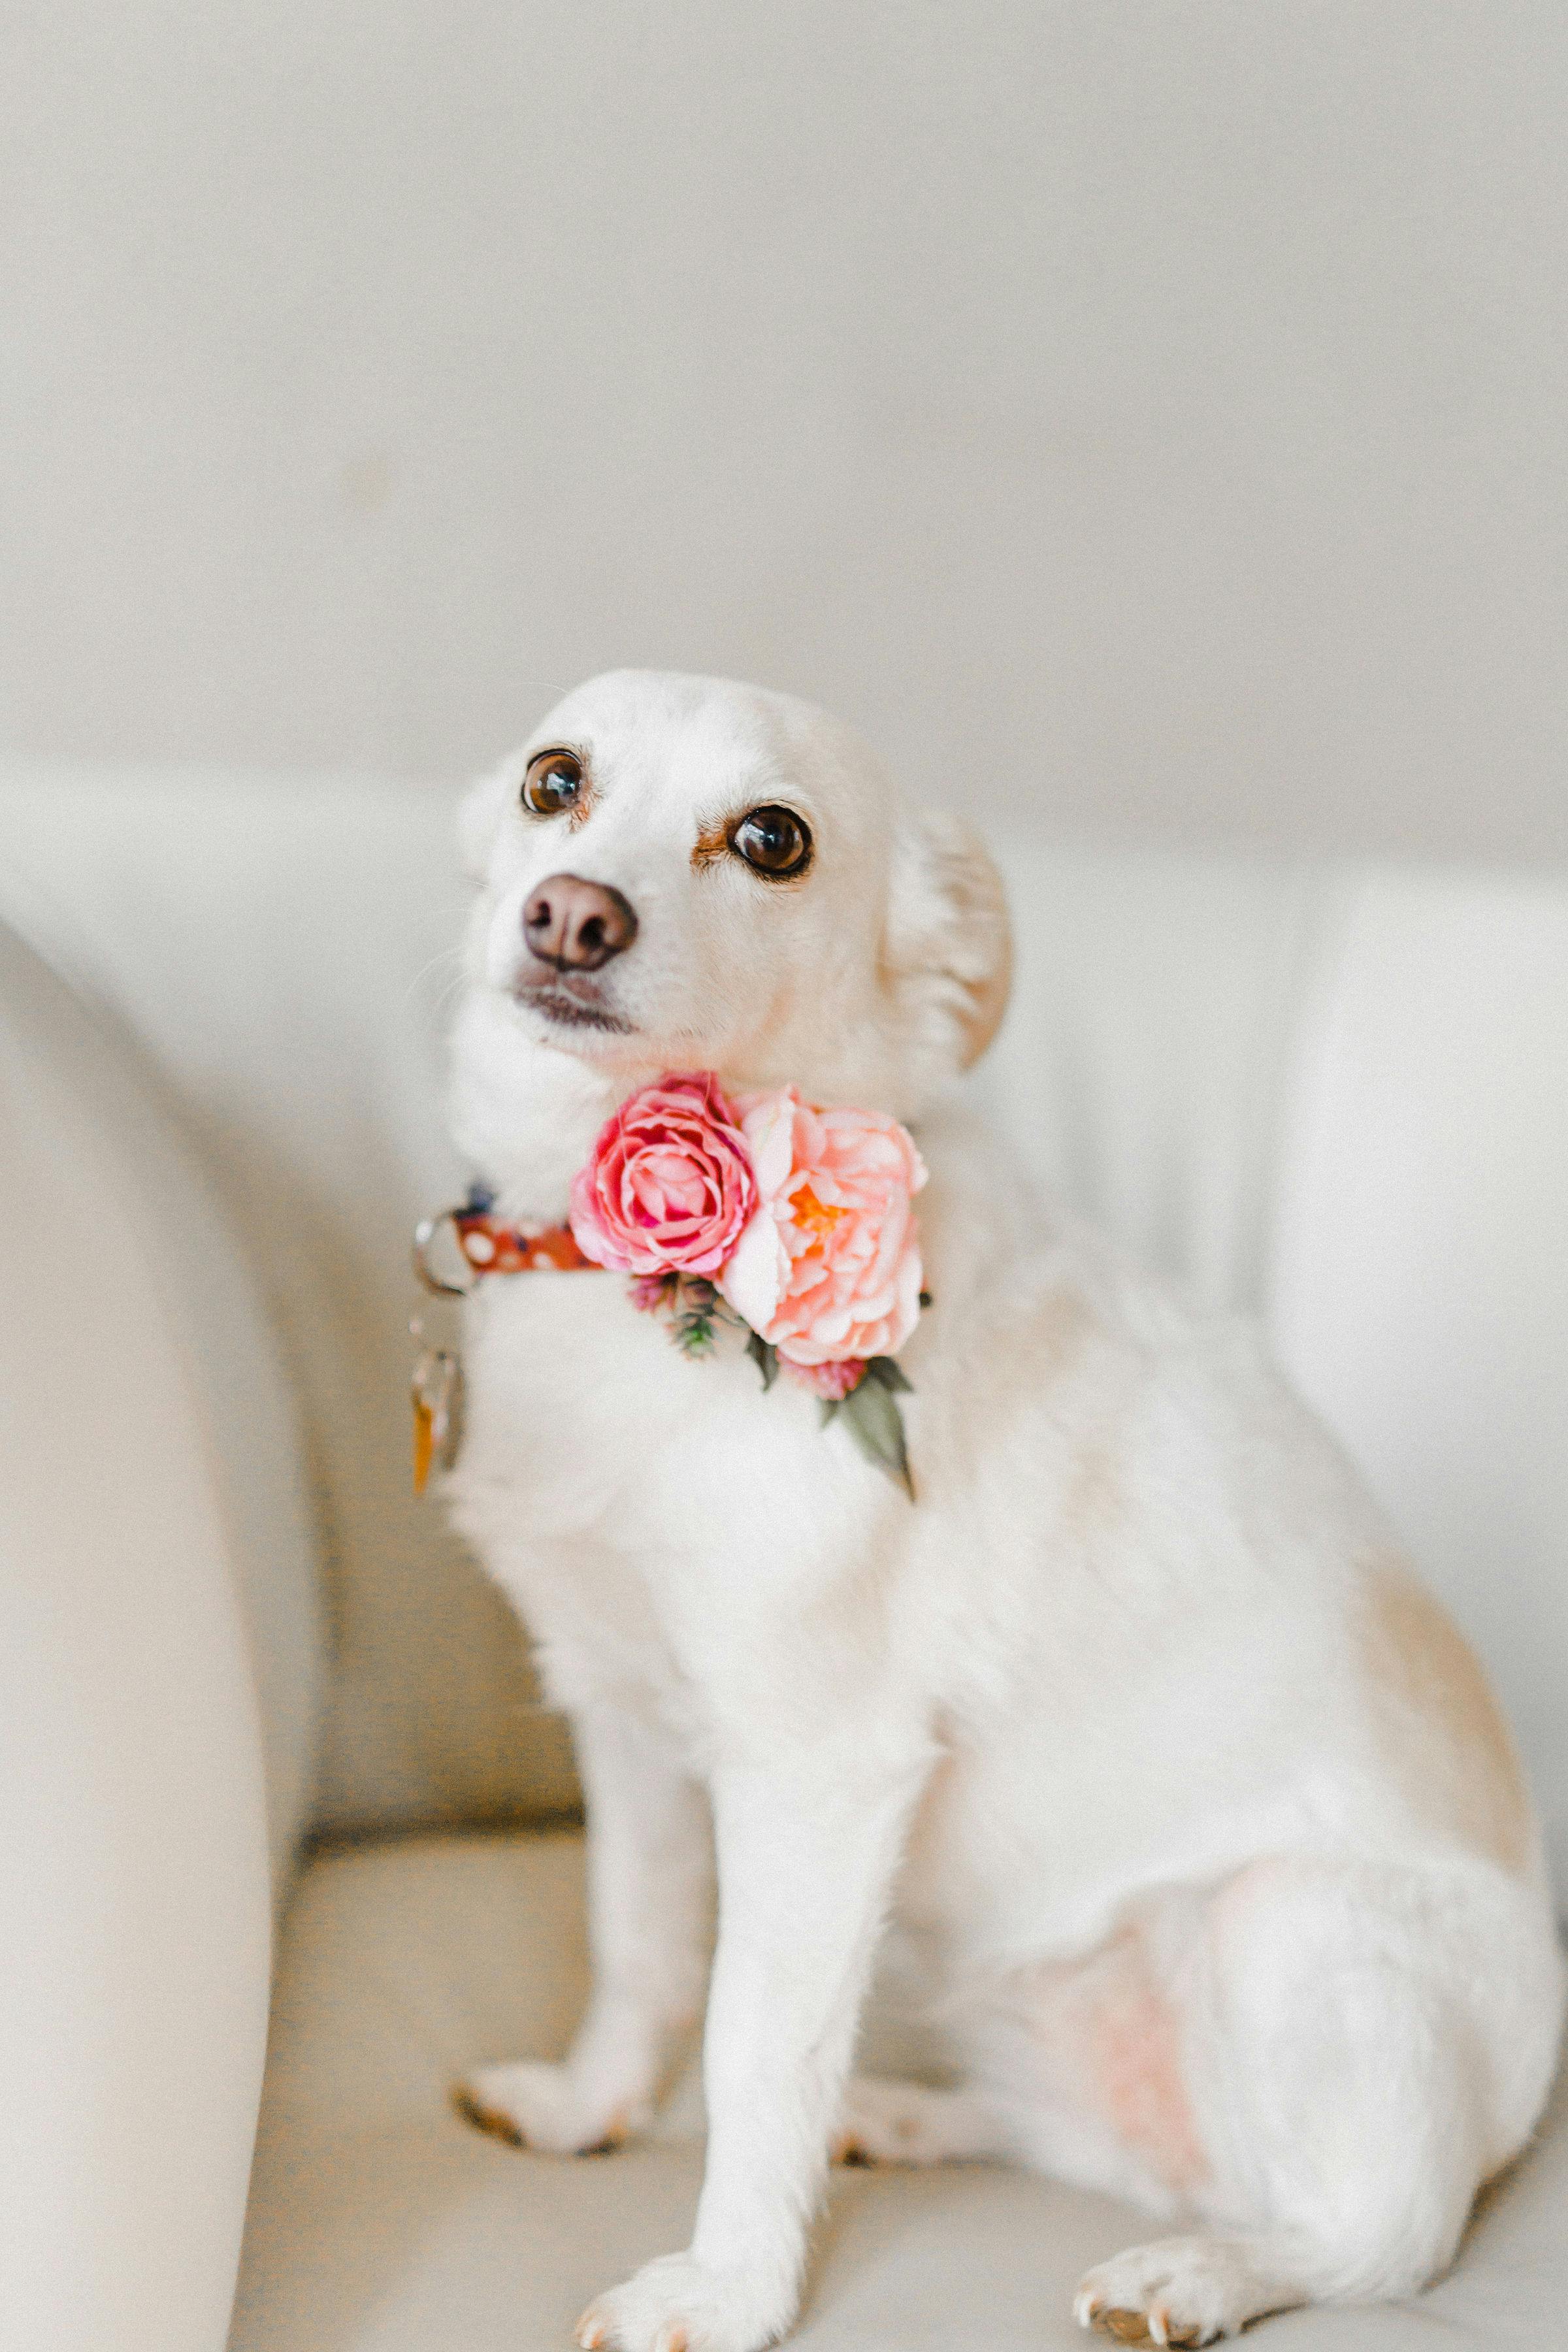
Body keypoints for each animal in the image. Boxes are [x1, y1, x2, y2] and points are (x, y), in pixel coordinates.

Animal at [444, 668, 1568, 2352]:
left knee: (1378, 2238)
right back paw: (909, 2120)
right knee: (1098, 2144)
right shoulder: (626, 1715)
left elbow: (750, 2045)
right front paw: (591, 2109)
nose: (570, 914)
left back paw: (1197, 2273)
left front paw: (726, 2287)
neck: (608, 1274)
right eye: (551, 782)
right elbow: (637, 1946)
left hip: (1279, 1931)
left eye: (770, 840)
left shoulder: (813, 1771)